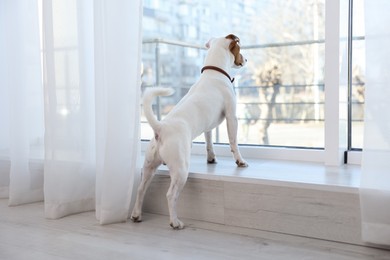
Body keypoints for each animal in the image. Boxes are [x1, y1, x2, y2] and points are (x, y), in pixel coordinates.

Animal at [130, 33, 247, 229]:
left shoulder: (209, 126)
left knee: (140, 189)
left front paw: (211, 159)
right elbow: (234, 142)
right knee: (171, 195)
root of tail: (160, 129)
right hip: (181, 169)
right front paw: (240, 161)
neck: (214, 72)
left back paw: (137, 214)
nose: (246, 60)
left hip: (149, 167)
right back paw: (175, 222)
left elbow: (209, 143)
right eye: (240, 50)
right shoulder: (232, 117)